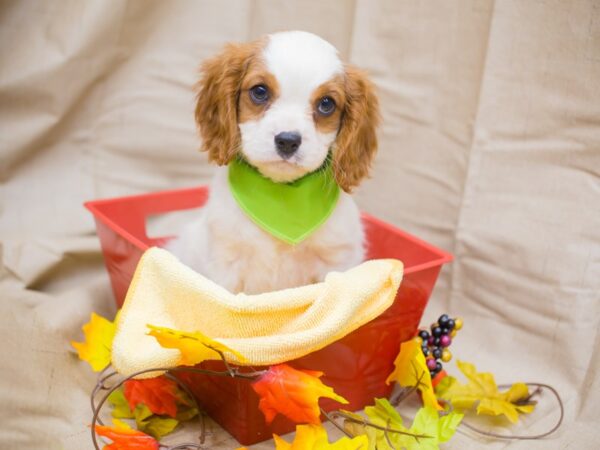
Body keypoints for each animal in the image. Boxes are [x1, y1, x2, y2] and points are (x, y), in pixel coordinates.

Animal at [166, 29, 378, 294]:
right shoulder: (225, 264)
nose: (287, 141)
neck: (281, 198)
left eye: (326, 104)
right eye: (260, 91)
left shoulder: (338, 262)